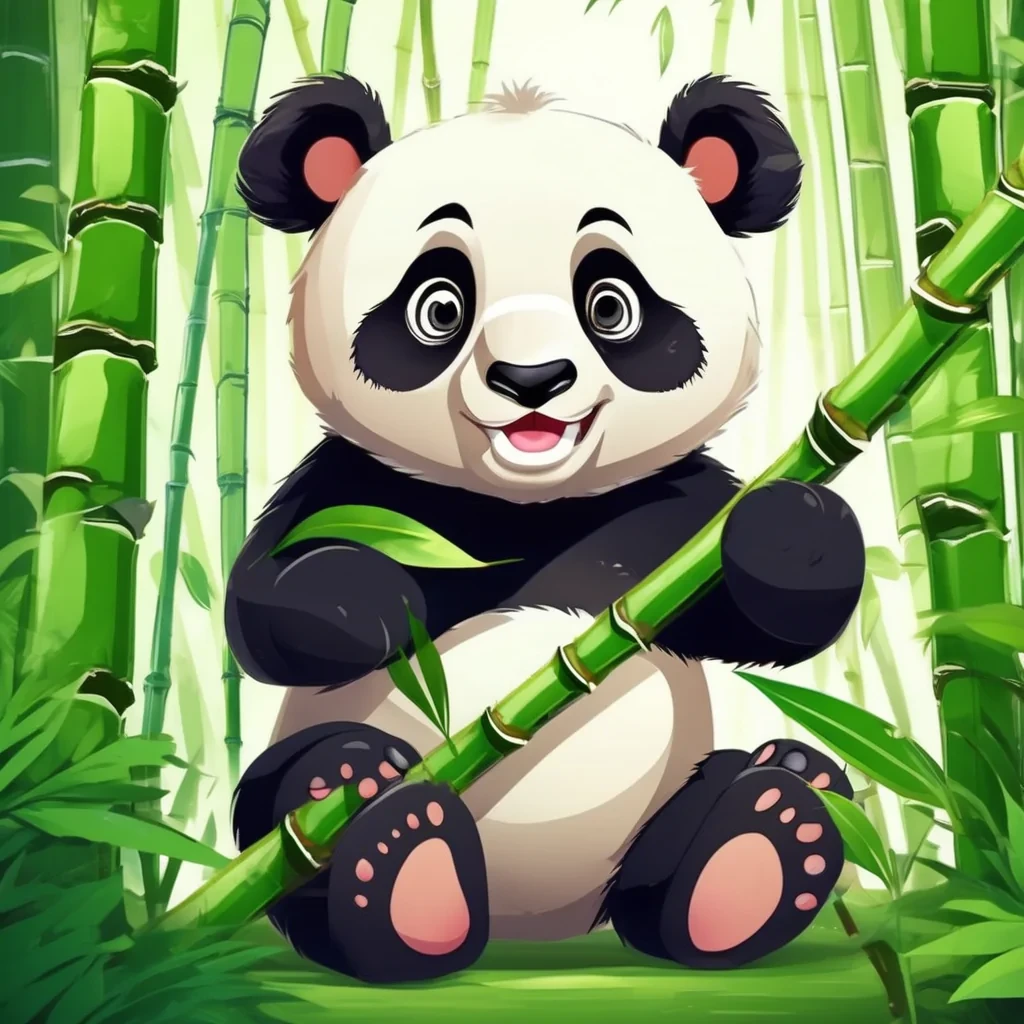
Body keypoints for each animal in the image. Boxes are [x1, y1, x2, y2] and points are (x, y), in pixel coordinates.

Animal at [226, 73, 866, 985]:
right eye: (438, 305)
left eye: (610, 304)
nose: (532, 379)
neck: (527, 507)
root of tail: (533, 927)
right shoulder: (355, 484)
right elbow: (264, 604)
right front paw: (366, 601)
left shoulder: (674, 510)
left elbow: (769, 619)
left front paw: (788, 532)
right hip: (300, 818)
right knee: (291, 799)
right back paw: (384, 838)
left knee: (730, 834)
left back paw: (762, 835)